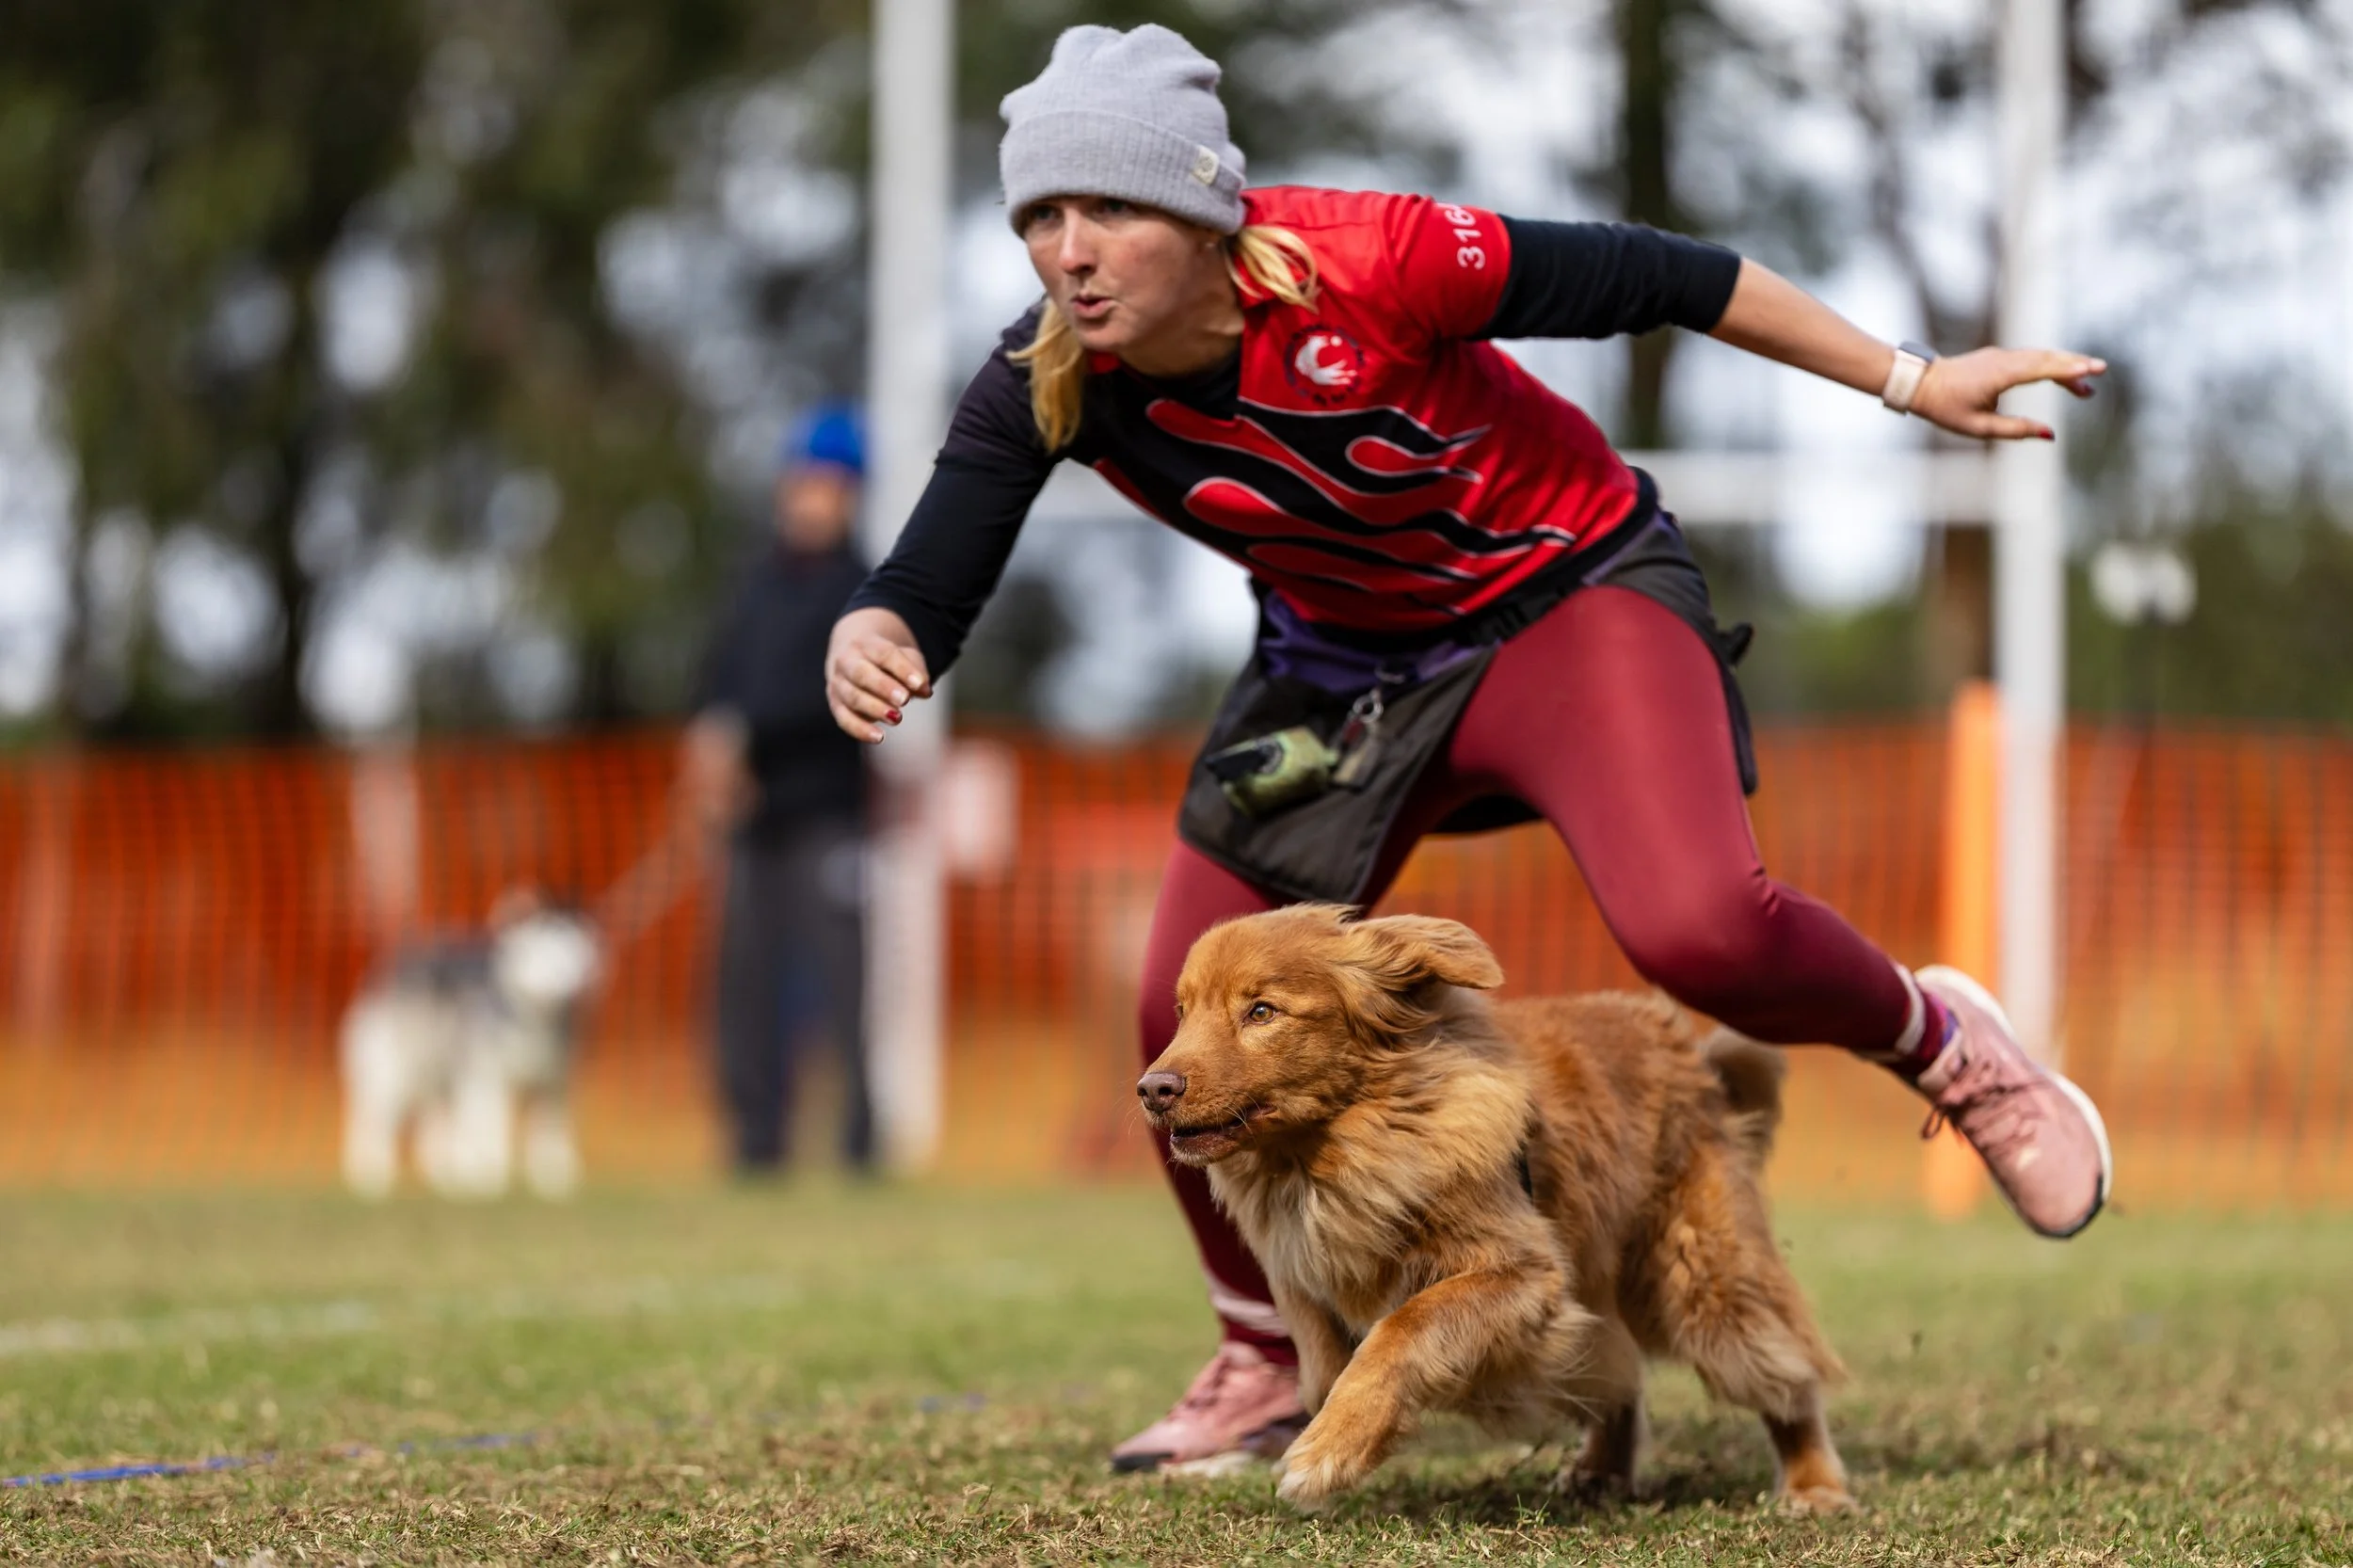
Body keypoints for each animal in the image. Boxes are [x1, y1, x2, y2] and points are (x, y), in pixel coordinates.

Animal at [340, 891, 603, 1200]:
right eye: (547, 955)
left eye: (576, 954)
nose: (576, 985)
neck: (534, 1018)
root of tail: (389, 971)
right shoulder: (487, 1077)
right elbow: (493, 1129)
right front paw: (491, 1179)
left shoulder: (554, 1082)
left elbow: (551, 1136)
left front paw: (554, 1182)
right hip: (396, 1075)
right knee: (372, 1124)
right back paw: (373, 1178)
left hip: (439, 1080)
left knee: (435, 1129)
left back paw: (447, 1176)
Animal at [1138, 905, 1851, 1513]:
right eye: (1182, 1011)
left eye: (1262, 1011)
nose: (1152, 1088)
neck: (1342, 1149)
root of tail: (1694, 1058)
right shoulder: (1304, 1276)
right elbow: (1321, 1369)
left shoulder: (1523, 1273)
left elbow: (1403, 1329)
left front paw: (1328, 1451)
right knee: (1619, 1369)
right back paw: (1602, 1472)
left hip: (1700, 1277)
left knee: (1783, 1373)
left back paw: (1812, 1485)